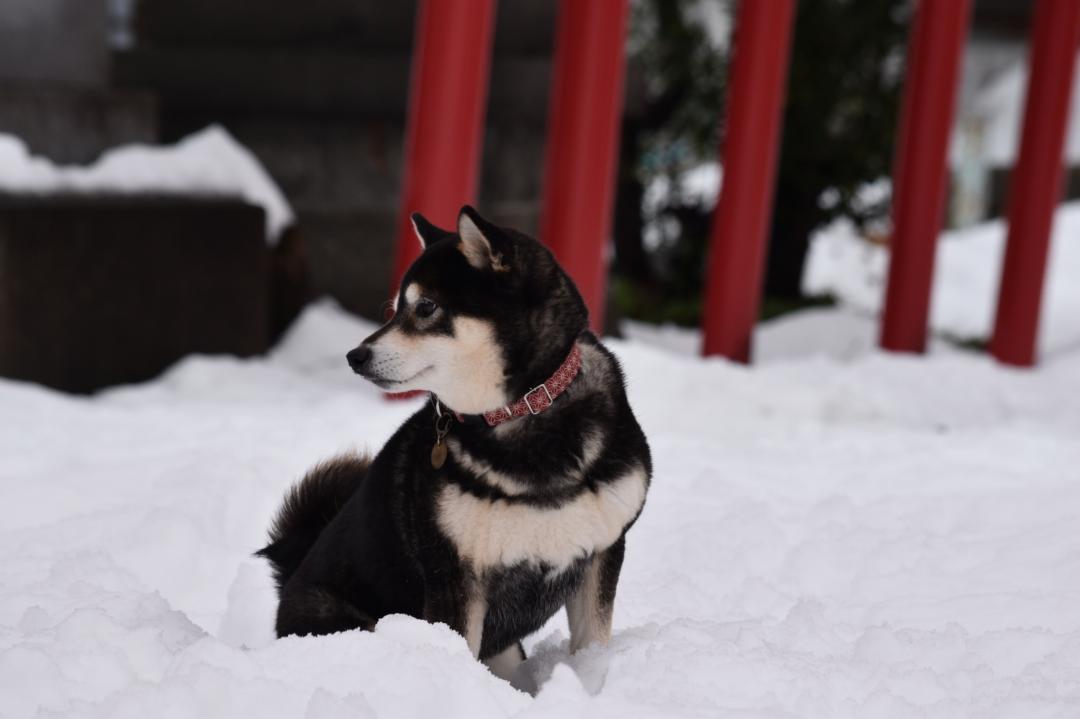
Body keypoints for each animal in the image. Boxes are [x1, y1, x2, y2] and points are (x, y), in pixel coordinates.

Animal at [259, 206, 648, 677]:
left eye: (425, 307)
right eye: (395, 309)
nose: (355, 356)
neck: (523, 410)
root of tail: (292, 571)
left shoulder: (603, 552)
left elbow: (592, 652)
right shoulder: (454, 575)